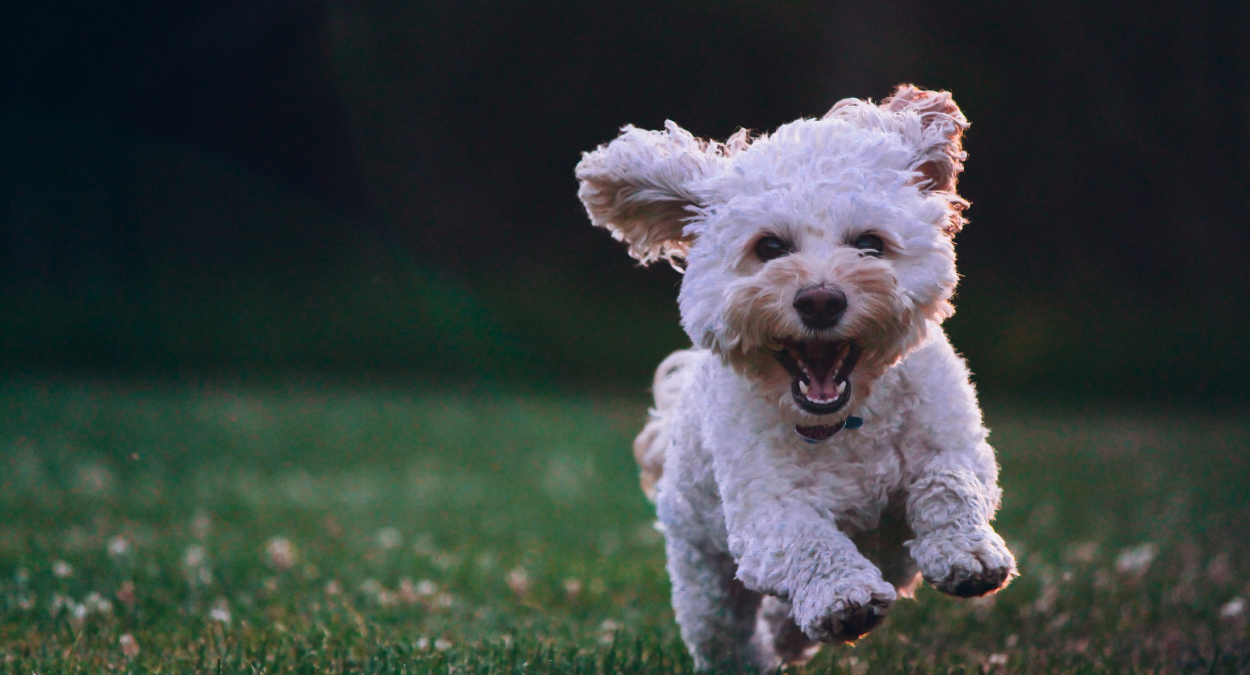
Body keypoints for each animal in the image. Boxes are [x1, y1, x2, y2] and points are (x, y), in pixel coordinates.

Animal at [575, 84, 1015, 670]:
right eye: (769, 248)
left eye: (870, 244)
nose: (821, 300)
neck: (846, 422)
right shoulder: (765, 512)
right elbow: (808, 541)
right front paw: (842, 597)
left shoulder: (953, 442)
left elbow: (950, 484)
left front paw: (967, 553)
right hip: (702, 571)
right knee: (723, 631)